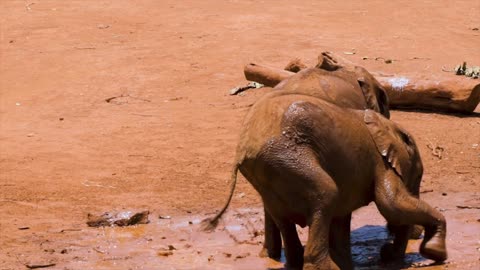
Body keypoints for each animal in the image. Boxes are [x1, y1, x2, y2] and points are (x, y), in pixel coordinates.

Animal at [202, 93, 446, 270]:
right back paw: (324, 267)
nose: (386, 253)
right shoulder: (380, 161)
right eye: (418, 178)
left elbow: (343, 217)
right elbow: (391, 204)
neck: (389, 126)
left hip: (267, 173)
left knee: (281, 214)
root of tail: (243, 148)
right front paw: (436, 252)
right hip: (286, 157)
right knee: (326, 194)